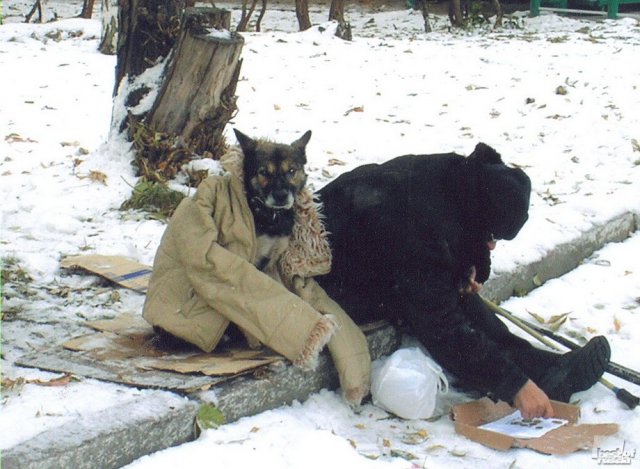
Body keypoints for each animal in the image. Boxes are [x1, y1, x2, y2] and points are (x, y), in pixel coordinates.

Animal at [235, 128, 316, 272]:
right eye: (264, 172)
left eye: (291, 170)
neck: (273, 217)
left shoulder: (273, 258)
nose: (281, 196)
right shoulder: (251, 258)